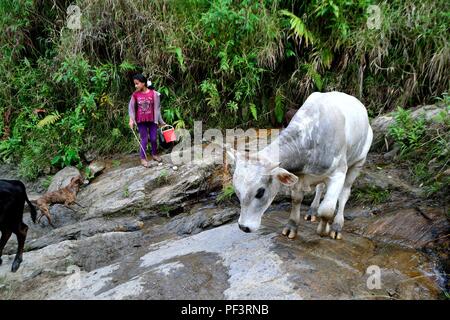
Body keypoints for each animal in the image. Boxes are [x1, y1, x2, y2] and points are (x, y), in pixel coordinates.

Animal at [229, 91, 372, 239]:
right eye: (237, 191)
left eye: (260, 192)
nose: (243, 227)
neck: (310, 138)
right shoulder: (299, 175)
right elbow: (297, 199)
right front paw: (291, 226)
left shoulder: (339, 173)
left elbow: (327, 210)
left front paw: (324, 229)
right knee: (320, 188)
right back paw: (312, 211)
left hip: (358, 162)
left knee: (344, 194)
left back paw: (337, 226)